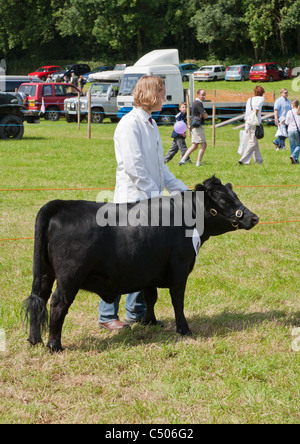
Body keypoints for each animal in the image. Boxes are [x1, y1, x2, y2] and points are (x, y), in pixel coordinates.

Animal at [23, 175, 258, 352]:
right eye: (224, 201)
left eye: (235, 196)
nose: (253, 218)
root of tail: (60, 204)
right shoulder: (180, 270)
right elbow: (177, 302)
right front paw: (184, 329)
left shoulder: (149, 272)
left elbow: (150, 297)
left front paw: (150, 321)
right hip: (69, 277)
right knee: (57, 303)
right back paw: (54, 345)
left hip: (45, 273)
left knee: (38, 299)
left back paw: (35, 340)